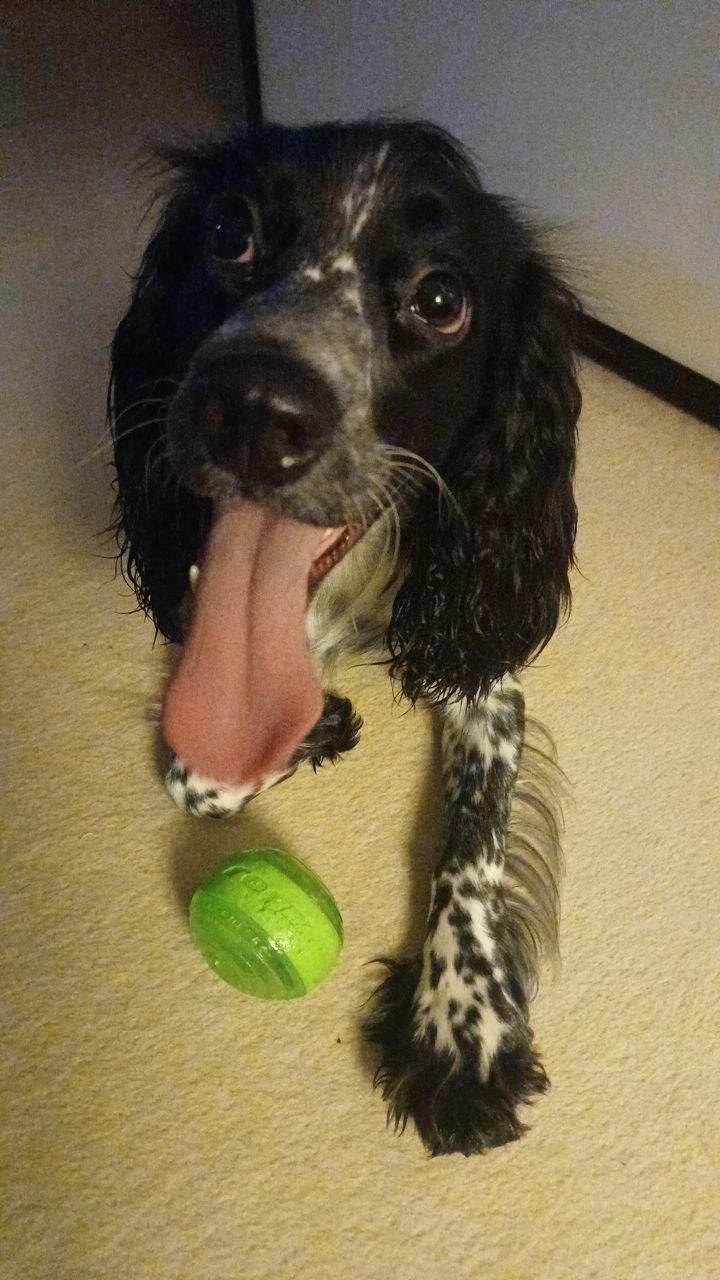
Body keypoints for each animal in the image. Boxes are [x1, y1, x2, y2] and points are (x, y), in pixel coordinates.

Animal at [109, 119, 581, 1156]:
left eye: (441, 300)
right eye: (229, 231)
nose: (253, 409)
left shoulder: (484, 672)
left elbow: (472, 844)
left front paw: (459, 1028)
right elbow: (200, 776)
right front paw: (315, 724)